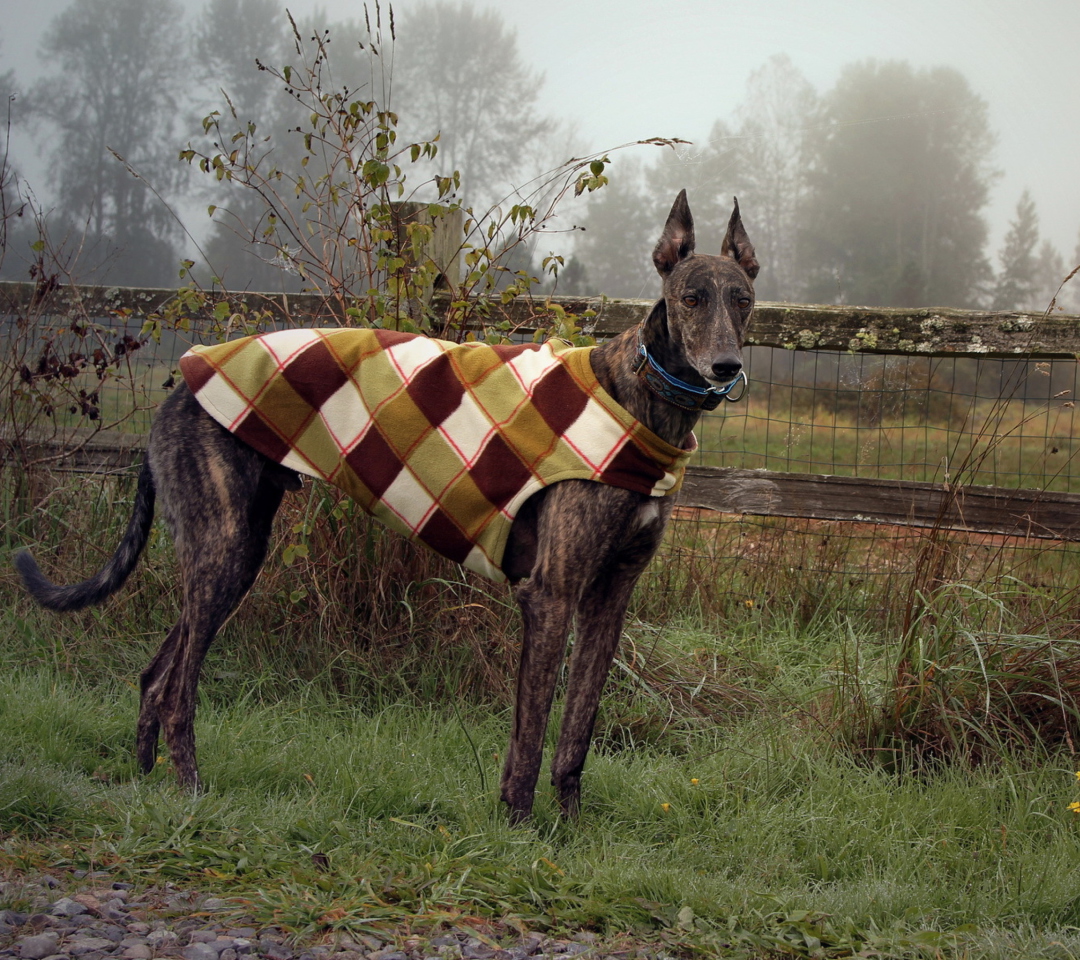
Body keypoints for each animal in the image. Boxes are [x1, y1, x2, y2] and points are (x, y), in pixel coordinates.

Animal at [16, 191, 760, 820]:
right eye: (691, 297)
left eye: (745, 300)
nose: (727, 368)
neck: (640, 398)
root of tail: (181, 382)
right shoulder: (550, 593)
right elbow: (530, 731)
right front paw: (520, 828)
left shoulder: (610, 595)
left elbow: (577, 728)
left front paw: (570, 833)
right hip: (224, 548)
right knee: (177, 687)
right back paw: (192, 790)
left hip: (233, 552)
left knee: (154, 674)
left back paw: (150, 783)